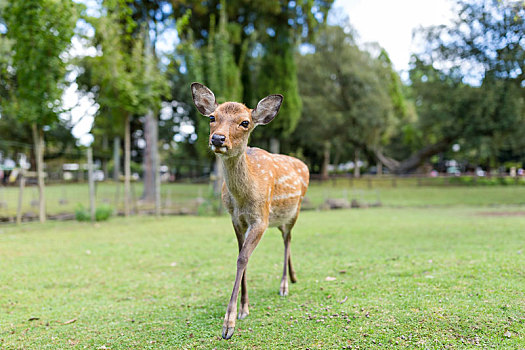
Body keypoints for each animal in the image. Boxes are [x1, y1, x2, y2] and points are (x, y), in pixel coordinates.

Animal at [190, 82, 310, 340]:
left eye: (245, 122)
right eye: (212, 117)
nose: (217, 138)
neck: (242, 199)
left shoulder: (260, 219)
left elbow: (243, 257)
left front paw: (228, 325)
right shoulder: (236, 219)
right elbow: (240, 256)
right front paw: (244, 308)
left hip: (295, 210)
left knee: (288, 239)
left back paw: (284, 285)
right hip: (278, 218)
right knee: (286, 239)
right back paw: (294, 277)